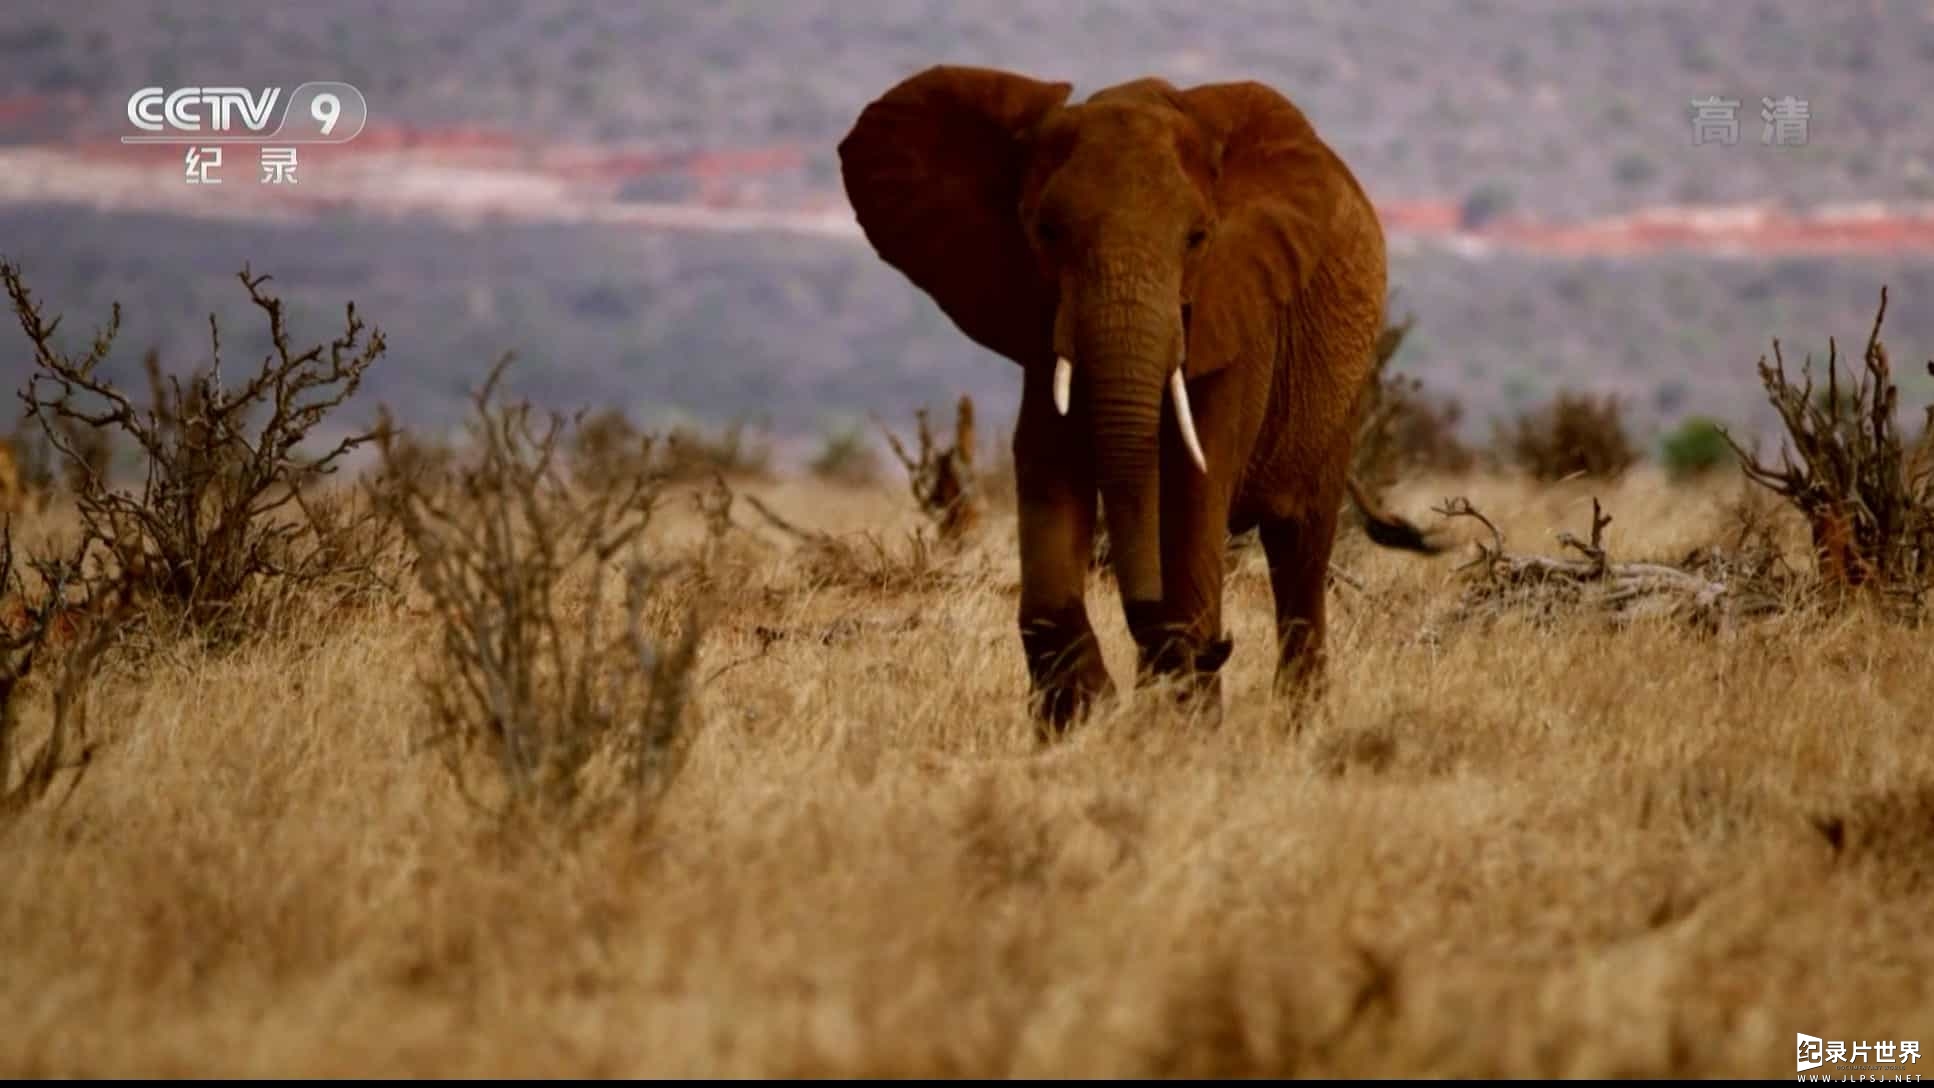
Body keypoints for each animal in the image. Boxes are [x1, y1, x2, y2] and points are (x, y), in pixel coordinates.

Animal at [839, 63, 1446, 738]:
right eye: (1045, 233)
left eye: (1198, 238)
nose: (1216, 648)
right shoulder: (1041, 323)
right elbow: (1050, 473)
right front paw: (1081, 722)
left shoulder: (1236, 313)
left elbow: (1193, 484)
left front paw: (1178, 730)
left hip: (1341, 392)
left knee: (1300, 552)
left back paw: (1299, 726)